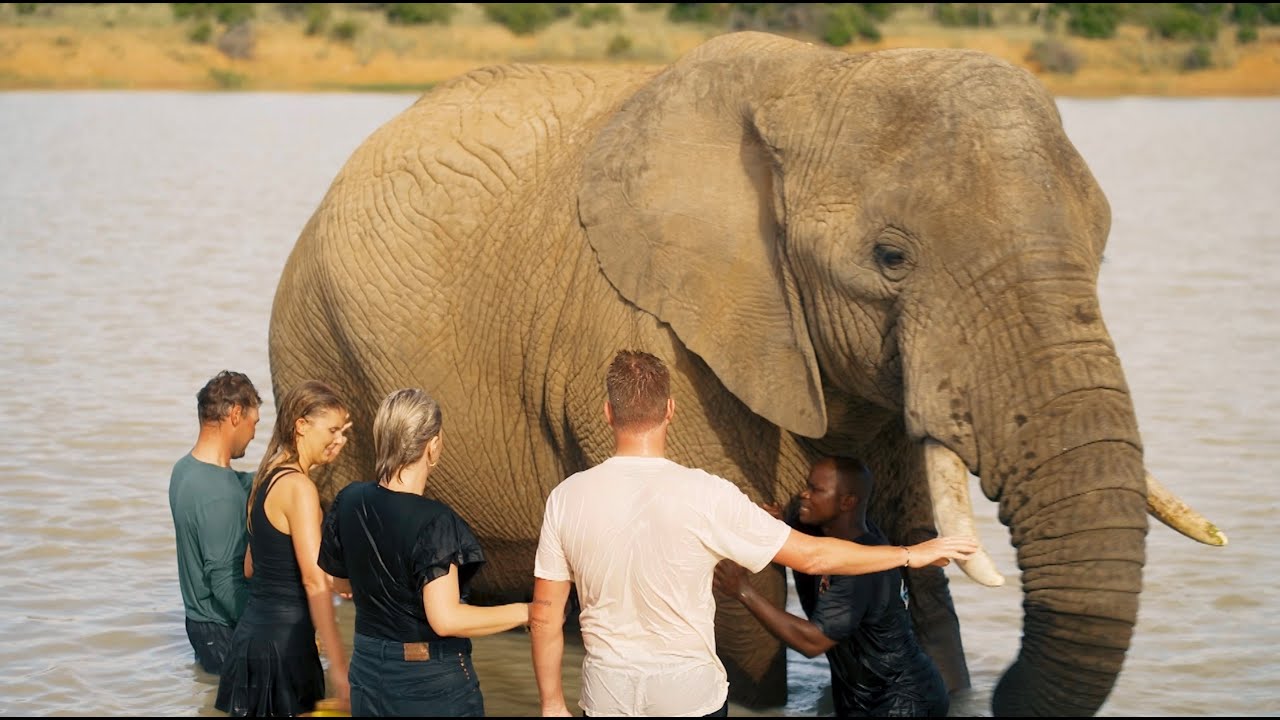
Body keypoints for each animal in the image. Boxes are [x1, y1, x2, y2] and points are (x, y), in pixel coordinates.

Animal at [267, 31, 1227, 716]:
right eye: (891, 258)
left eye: (1102, 244)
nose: (1005, 696)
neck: (827, 80)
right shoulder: (645, 328)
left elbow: (903, 545)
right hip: (319, 349)